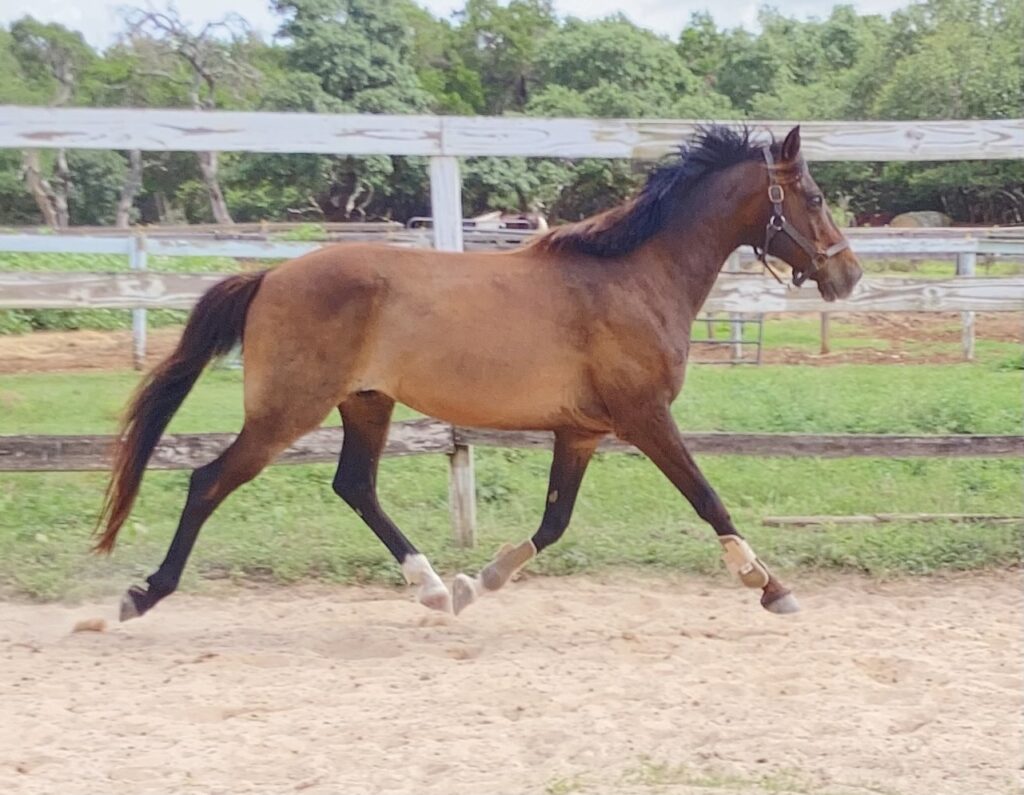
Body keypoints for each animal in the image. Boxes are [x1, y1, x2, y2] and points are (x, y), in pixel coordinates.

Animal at [97, 123, 864, 622]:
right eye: (815, 197)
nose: (849, 274)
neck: (632, 278)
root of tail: (270, 277)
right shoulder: (645, 417)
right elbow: (708, 498)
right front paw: (770, 586)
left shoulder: (581, 431)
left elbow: (553, 522)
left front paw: (478, 582)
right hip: (287, 411)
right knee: (208, 480)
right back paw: (143, 593)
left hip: (366, 402)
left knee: (355, 485)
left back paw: (435, 588)